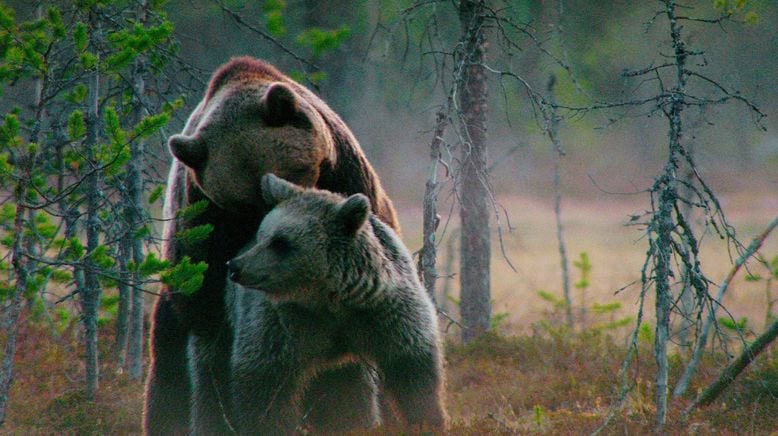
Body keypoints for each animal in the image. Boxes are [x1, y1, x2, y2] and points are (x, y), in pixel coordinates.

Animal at [144, 58, 400, 436]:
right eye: (243, 206)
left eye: (288, 174)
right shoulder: (203, 225)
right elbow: (213, 327)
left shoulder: (348, 180)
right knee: (170, 368)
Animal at [221, 174, 446, 432]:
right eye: (262, 235)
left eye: (281, 242)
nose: (235, 266)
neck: (329, 299)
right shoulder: (283, 324)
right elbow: (263, 382)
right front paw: (268, 425)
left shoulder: (384, 312)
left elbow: (413, 368)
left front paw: (428, 420)